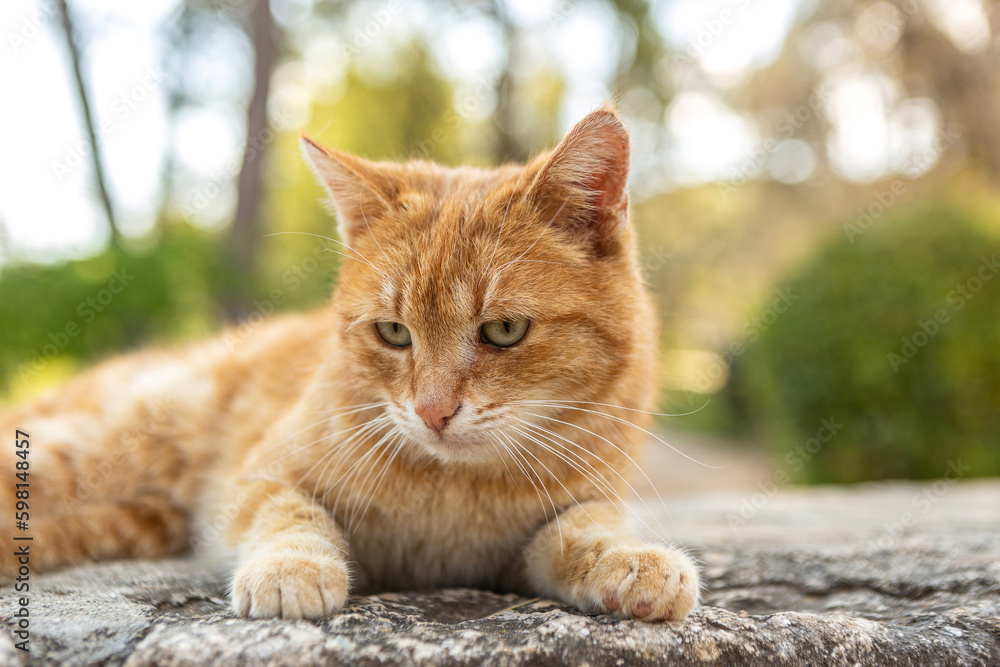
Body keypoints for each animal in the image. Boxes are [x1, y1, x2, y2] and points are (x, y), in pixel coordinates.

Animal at [0, 105, 700, 620]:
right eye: (394, 333)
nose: (433, 412)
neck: (452, 494)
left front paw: (632, 559)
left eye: (504, 330)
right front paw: (292, 568)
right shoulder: (254, 478)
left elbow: (586, 528)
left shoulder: (553, 524)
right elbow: (291, 515)